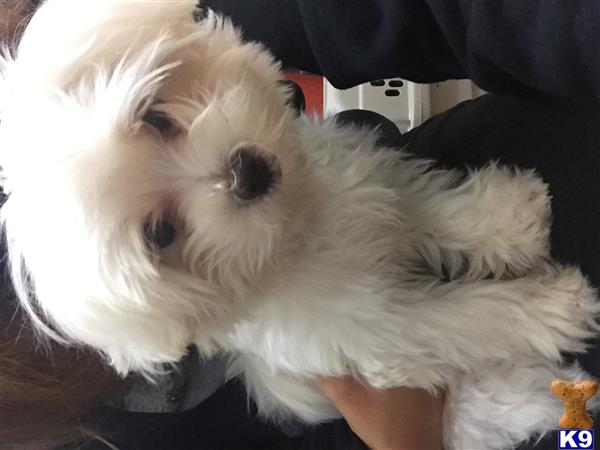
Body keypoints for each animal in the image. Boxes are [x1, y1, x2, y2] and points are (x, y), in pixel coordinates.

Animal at [1, 1, 600, 448]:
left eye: (156, 116)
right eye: (159, 234)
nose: (245, 172)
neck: (294, 226)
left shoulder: (369, 185)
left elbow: (430, 210)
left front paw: (511, 218)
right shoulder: (382, 328)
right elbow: (469, 318)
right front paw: (556, 306)